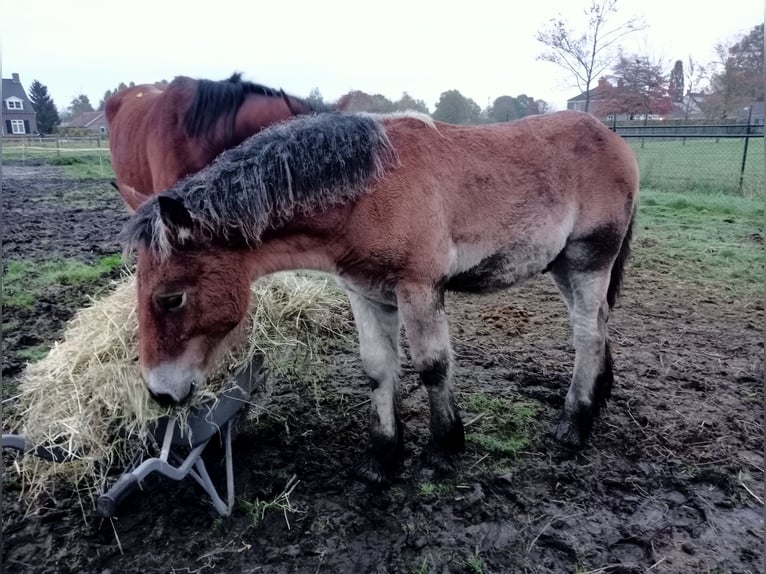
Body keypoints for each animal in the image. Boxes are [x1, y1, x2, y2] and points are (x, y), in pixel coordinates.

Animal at [123, 111, 640, 486]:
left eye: (171, 299)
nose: (160, 391)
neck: (370, 192)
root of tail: (612, 138)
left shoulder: (419, 289)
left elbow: (432, 367)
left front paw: (442, 450)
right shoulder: (366, 293)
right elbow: (377, 368)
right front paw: (382, 457)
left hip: (590, 259)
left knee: (586, 335)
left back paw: (575, 423)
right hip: (563, 266)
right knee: (599, 323)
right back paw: (598, 397)